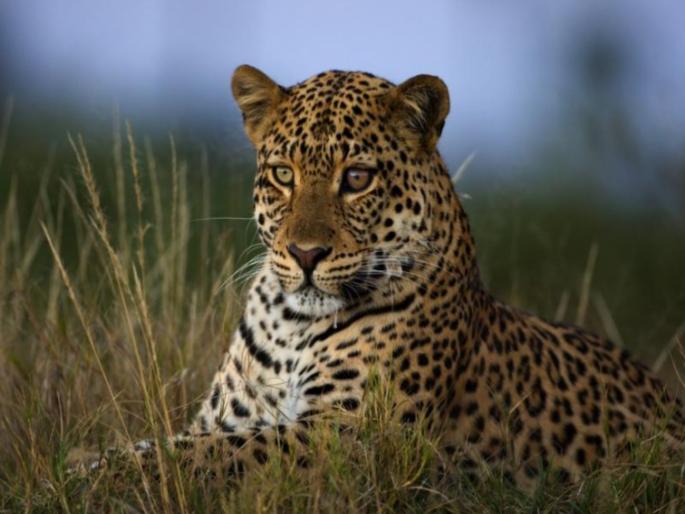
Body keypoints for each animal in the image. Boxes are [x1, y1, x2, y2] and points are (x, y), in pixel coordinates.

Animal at [84, 65, 684, 488]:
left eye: (357, 178)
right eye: (283, 174)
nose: (304, 253)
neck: (290, 324)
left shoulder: (352, 435)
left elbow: (209, 454)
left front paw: (94, 473)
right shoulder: (221, 418)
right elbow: (174, 443)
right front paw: (92, 460)